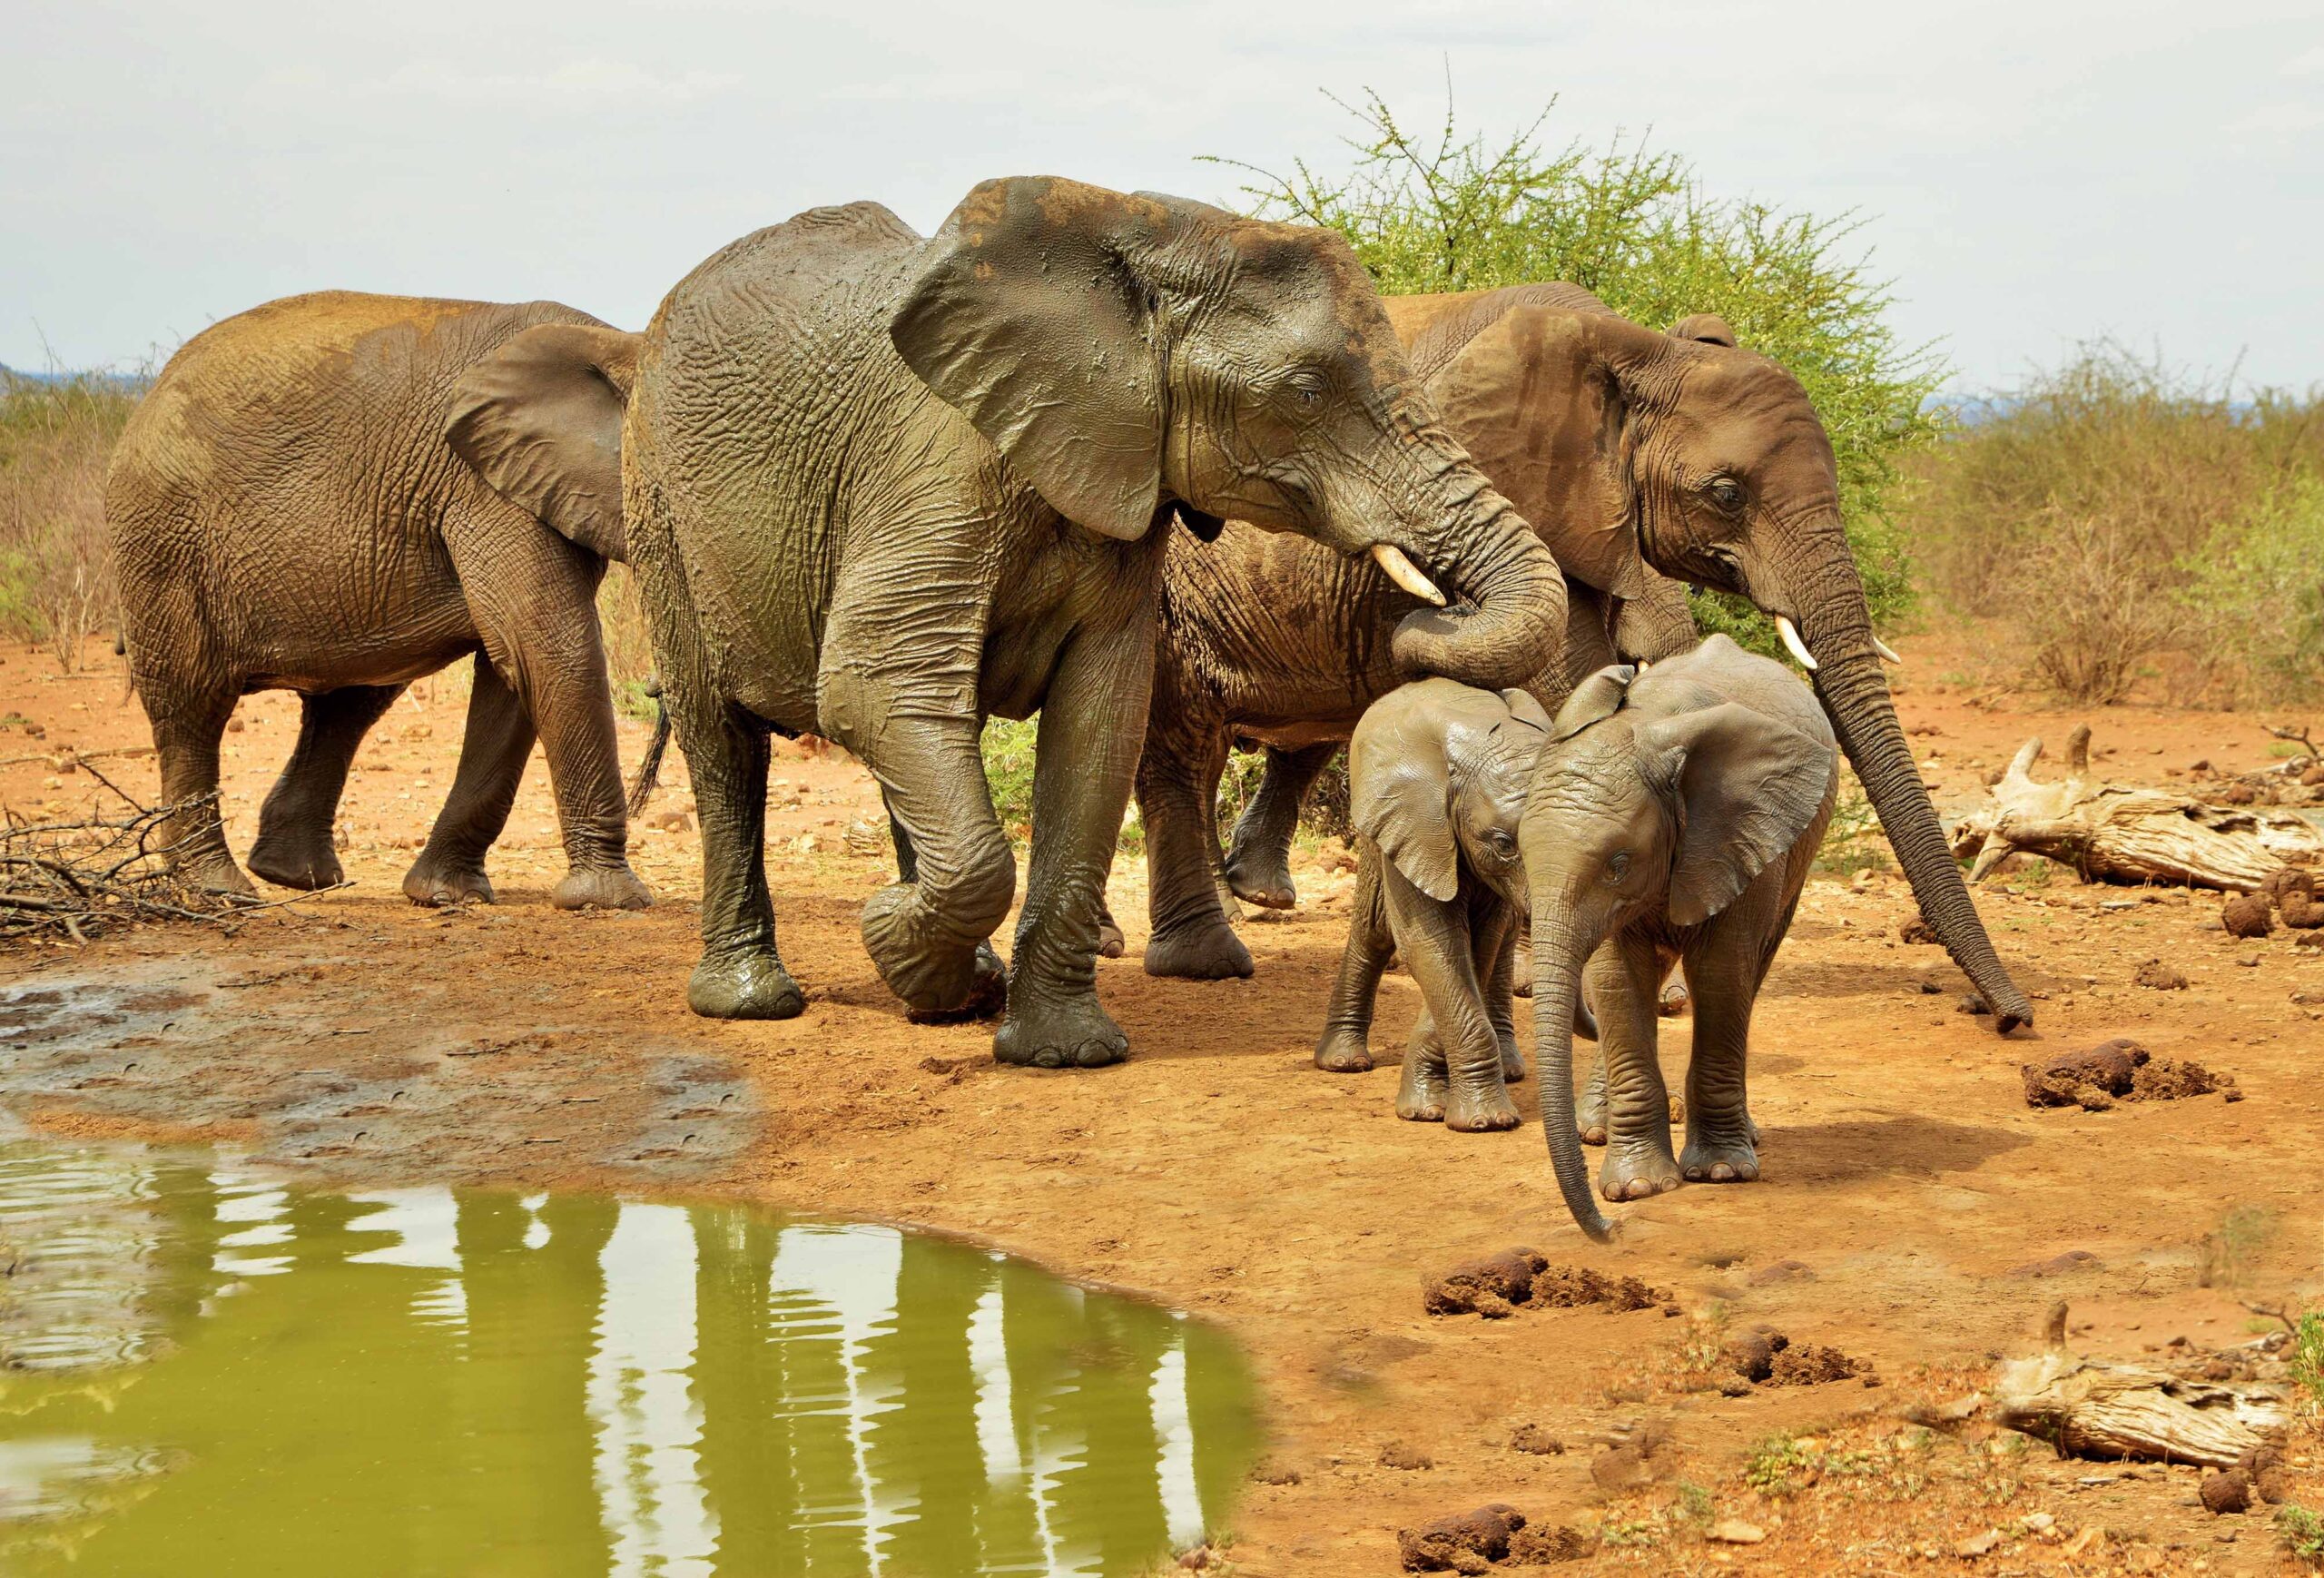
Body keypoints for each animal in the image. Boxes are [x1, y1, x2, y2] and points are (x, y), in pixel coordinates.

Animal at [106, 291, 653, 910]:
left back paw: (293, 876)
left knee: (349, 703)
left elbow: (514, 671)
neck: (621, 343)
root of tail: (145, 403)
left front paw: (443, 894)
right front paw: (611, 901)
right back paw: (223, 890)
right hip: (165, 542)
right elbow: (547, 649)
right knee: (192, 705)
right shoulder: (486, 486)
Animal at [619, 178, 1565, 1069]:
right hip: (658, 505)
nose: (1422, 619)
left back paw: (952, 992)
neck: (1140, 239)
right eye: (1302, 394)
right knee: (727, 743)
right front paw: (890, 934)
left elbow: (1100, 715)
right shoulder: (935, 462)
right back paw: (755, 1001)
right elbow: (870, 681)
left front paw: (1060, 1051)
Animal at [1131, 283, 2031, 1036]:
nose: (2013, 1018)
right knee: (1179, 746)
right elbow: (1555, 692)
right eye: (1726, 494)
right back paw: (1204, 955)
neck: (1638, 349)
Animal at [1314, 678, 1551, 1132]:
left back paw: (1510, 1069)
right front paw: (1475, 1119)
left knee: (1501, 943)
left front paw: (1436, 1107)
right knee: (1374, 931)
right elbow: (1430, 945)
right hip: (1374, 825)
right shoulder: (1415, 824)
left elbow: (1474, 949)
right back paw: (1343, 1062)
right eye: (1503, 844)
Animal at [1522, 636, 1838, 1242]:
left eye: (1618, 864)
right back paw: (1595, 1131)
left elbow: (1720, 971)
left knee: (1752, 968)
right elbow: (1616, 978)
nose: (1610, 1230)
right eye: (1519, 855)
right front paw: (1637, 1188)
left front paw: (1720, 1172)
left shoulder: (1740, 835)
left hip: (1795, 857)